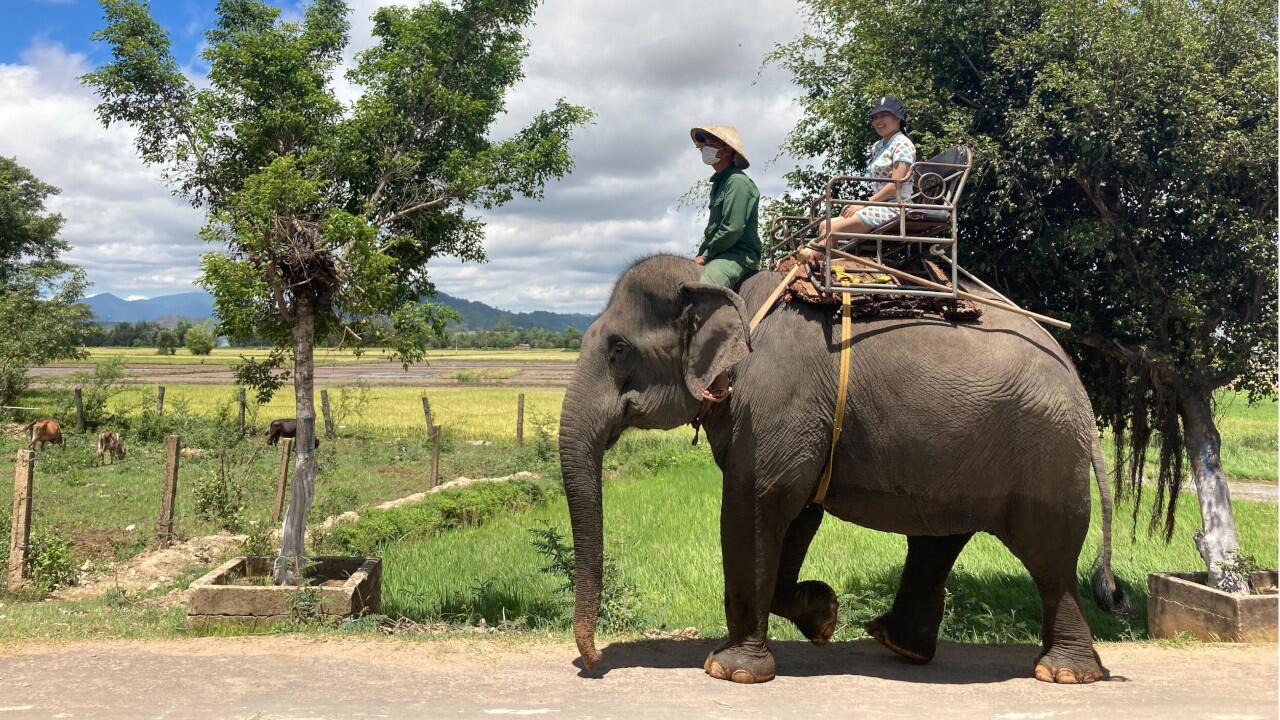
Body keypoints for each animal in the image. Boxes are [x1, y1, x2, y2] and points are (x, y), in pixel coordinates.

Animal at [560, 252, 1131, 681]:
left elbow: (756, 504)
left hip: (1043, 453)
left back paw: (1064, 673)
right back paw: (899, 645)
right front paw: (823, 617)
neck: (729, 291)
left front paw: (731, 670)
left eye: (618, 348)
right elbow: (797, 513)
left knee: (1049, 554)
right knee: (940, 538)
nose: (592, 662)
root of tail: (1077, 385)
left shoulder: (774, 406)